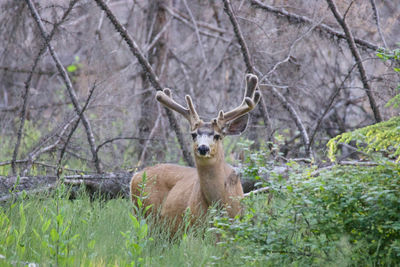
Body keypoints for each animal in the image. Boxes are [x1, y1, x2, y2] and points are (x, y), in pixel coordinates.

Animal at [130, 73, 260, 232]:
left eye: (217, 135)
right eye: (193, 134)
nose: (203, 148)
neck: (219, 202)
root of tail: (136, 175)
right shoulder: (194, 226)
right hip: (145, 214)